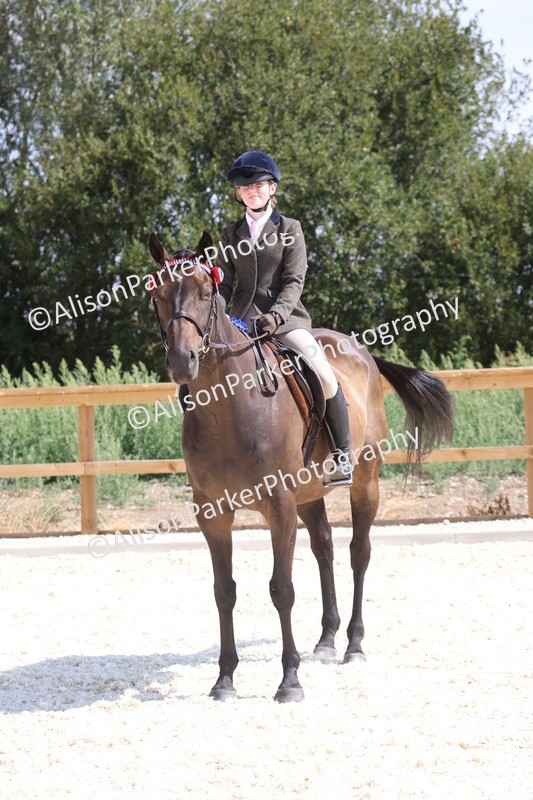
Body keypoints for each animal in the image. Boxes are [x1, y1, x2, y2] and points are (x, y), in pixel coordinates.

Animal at [148, 231, 453, 702]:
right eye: (158, 295)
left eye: (205, 292)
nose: (183, 361)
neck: (227, 408)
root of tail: (360, 350)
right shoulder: (212, 513)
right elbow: (224, 591)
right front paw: (224, 679)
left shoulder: (279, 504)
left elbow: (282, 589)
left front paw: (289, 680)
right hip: (309, 494)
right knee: (324, 547)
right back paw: (326, 640)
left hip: (365, 481)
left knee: (358, 552)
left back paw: (353, 645)